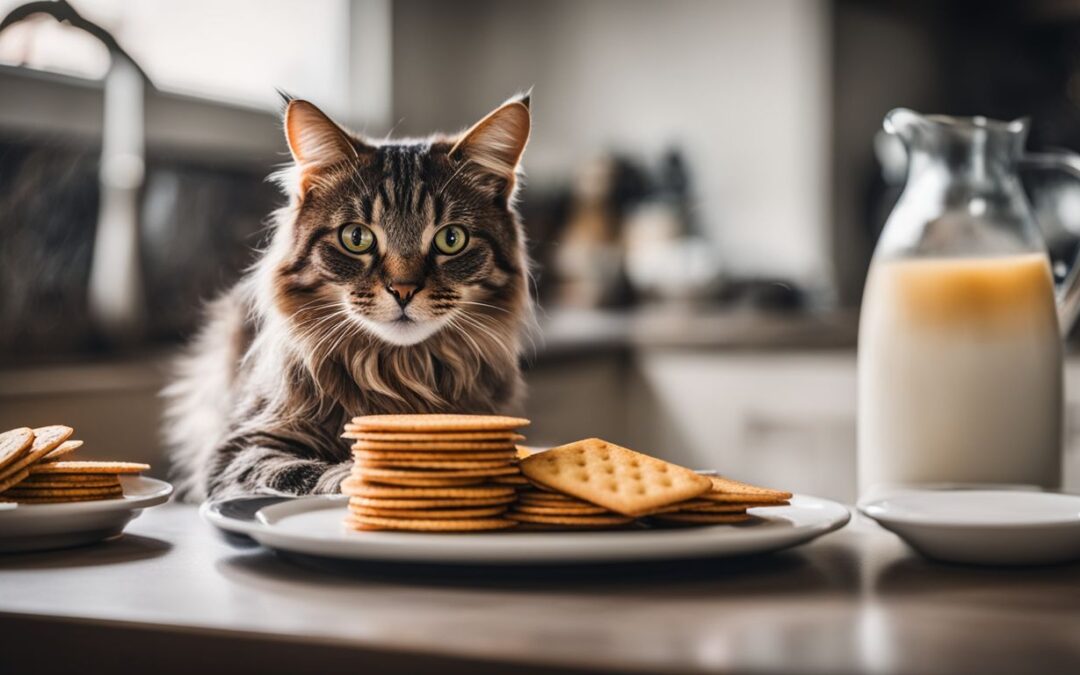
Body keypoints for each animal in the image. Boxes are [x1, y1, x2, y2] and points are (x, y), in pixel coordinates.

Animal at [165, 93, 535, 501]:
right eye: (356, 238)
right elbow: (301, 472)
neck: (399, 374)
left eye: (451, 239)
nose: (403, 290)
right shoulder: (240, 446)